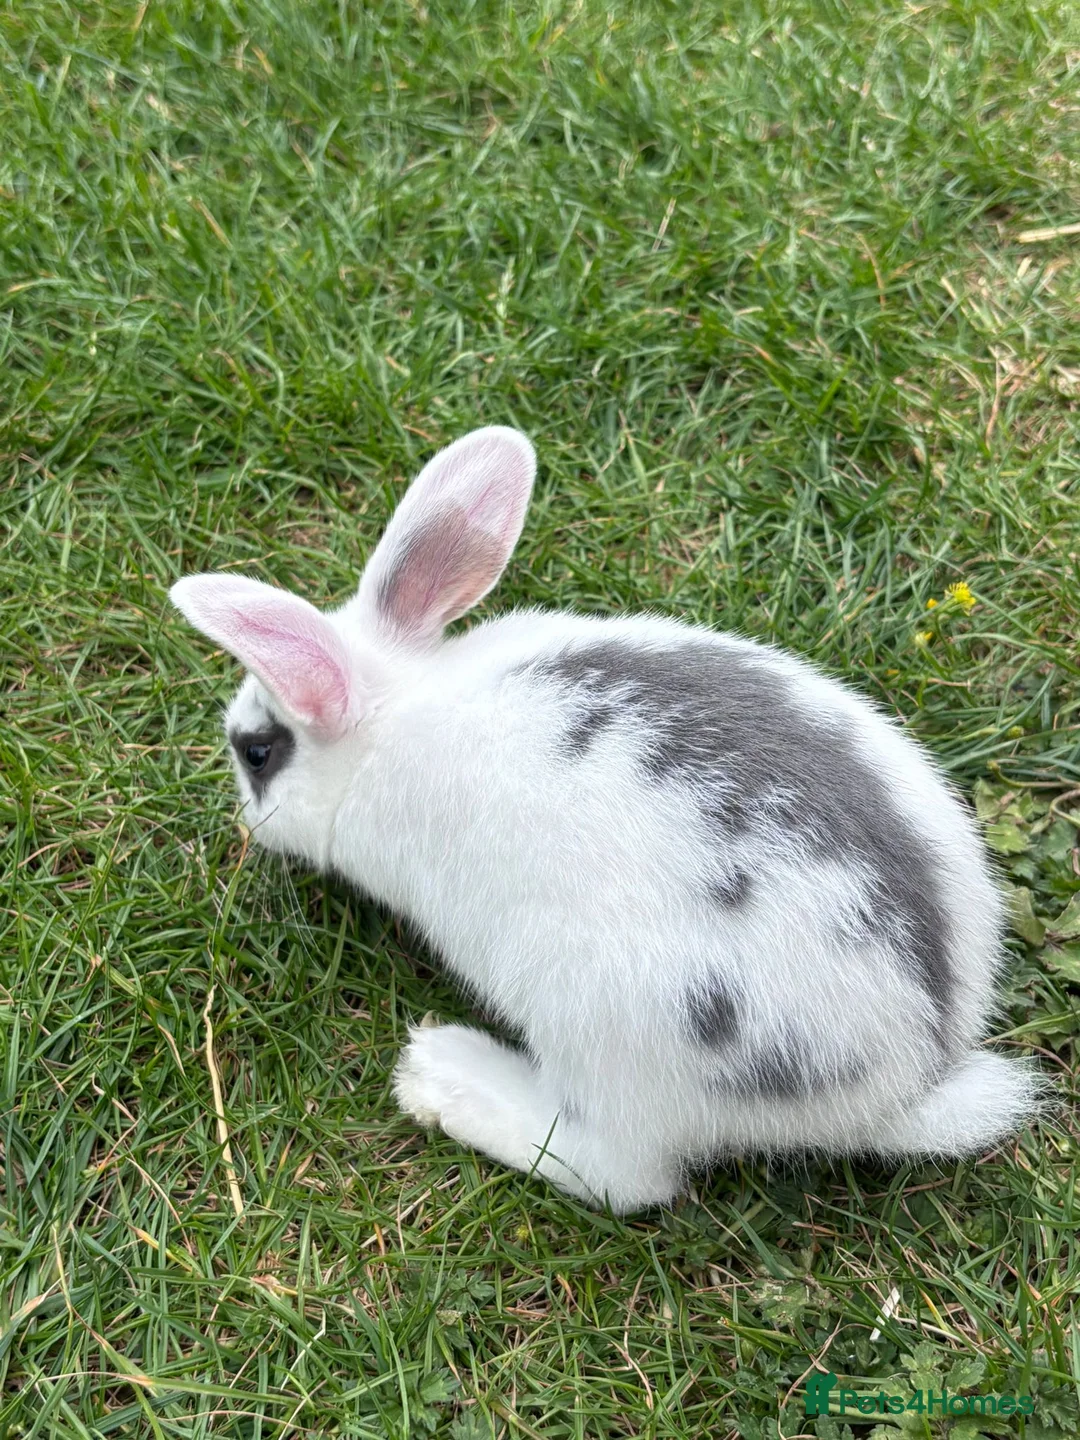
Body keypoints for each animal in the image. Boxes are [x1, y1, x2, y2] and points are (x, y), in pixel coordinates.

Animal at [170, 425, 1039, 1213]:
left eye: (258, 753)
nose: (245, 817)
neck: (395, 710)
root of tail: (908, 1081)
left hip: (606, 1031)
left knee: (623, 1176)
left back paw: (442, 1076)